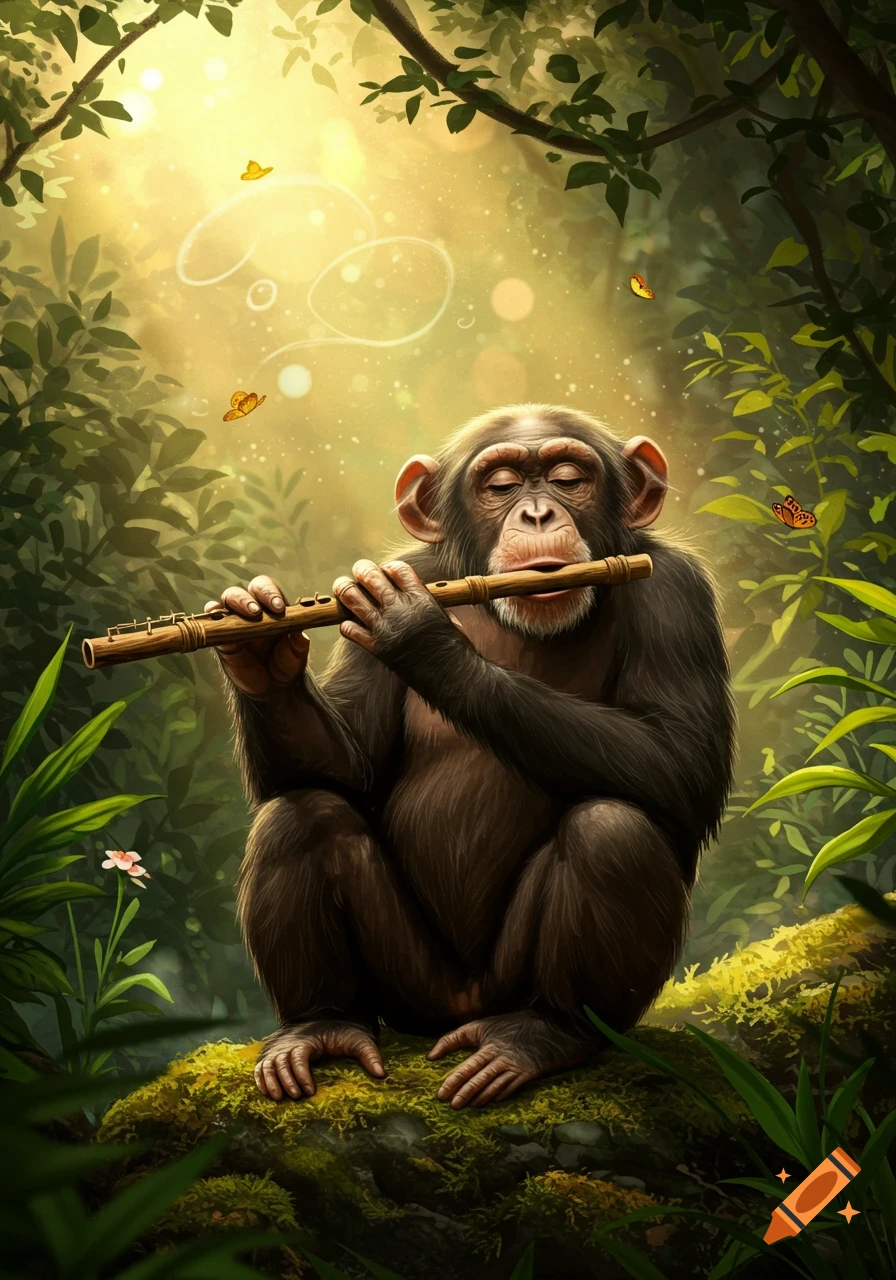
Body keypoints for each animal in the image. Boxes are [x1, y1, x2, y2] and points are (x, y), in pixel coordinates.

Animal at [206, 404, 735, 1110]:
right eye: (500, 485)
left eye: (569, 478)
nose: (537, 514)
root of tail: (460, 1014)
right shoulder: (406, 566)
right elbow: (349, 771)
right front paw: (254, 635)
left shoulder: (676, 593)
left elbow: (682, 759)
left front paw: (416, 630)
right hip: (410, 989)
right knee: (300, 815)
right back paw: (319, 1026)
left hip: (502, 987)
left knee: (611, 830)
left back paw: (544, 1034)